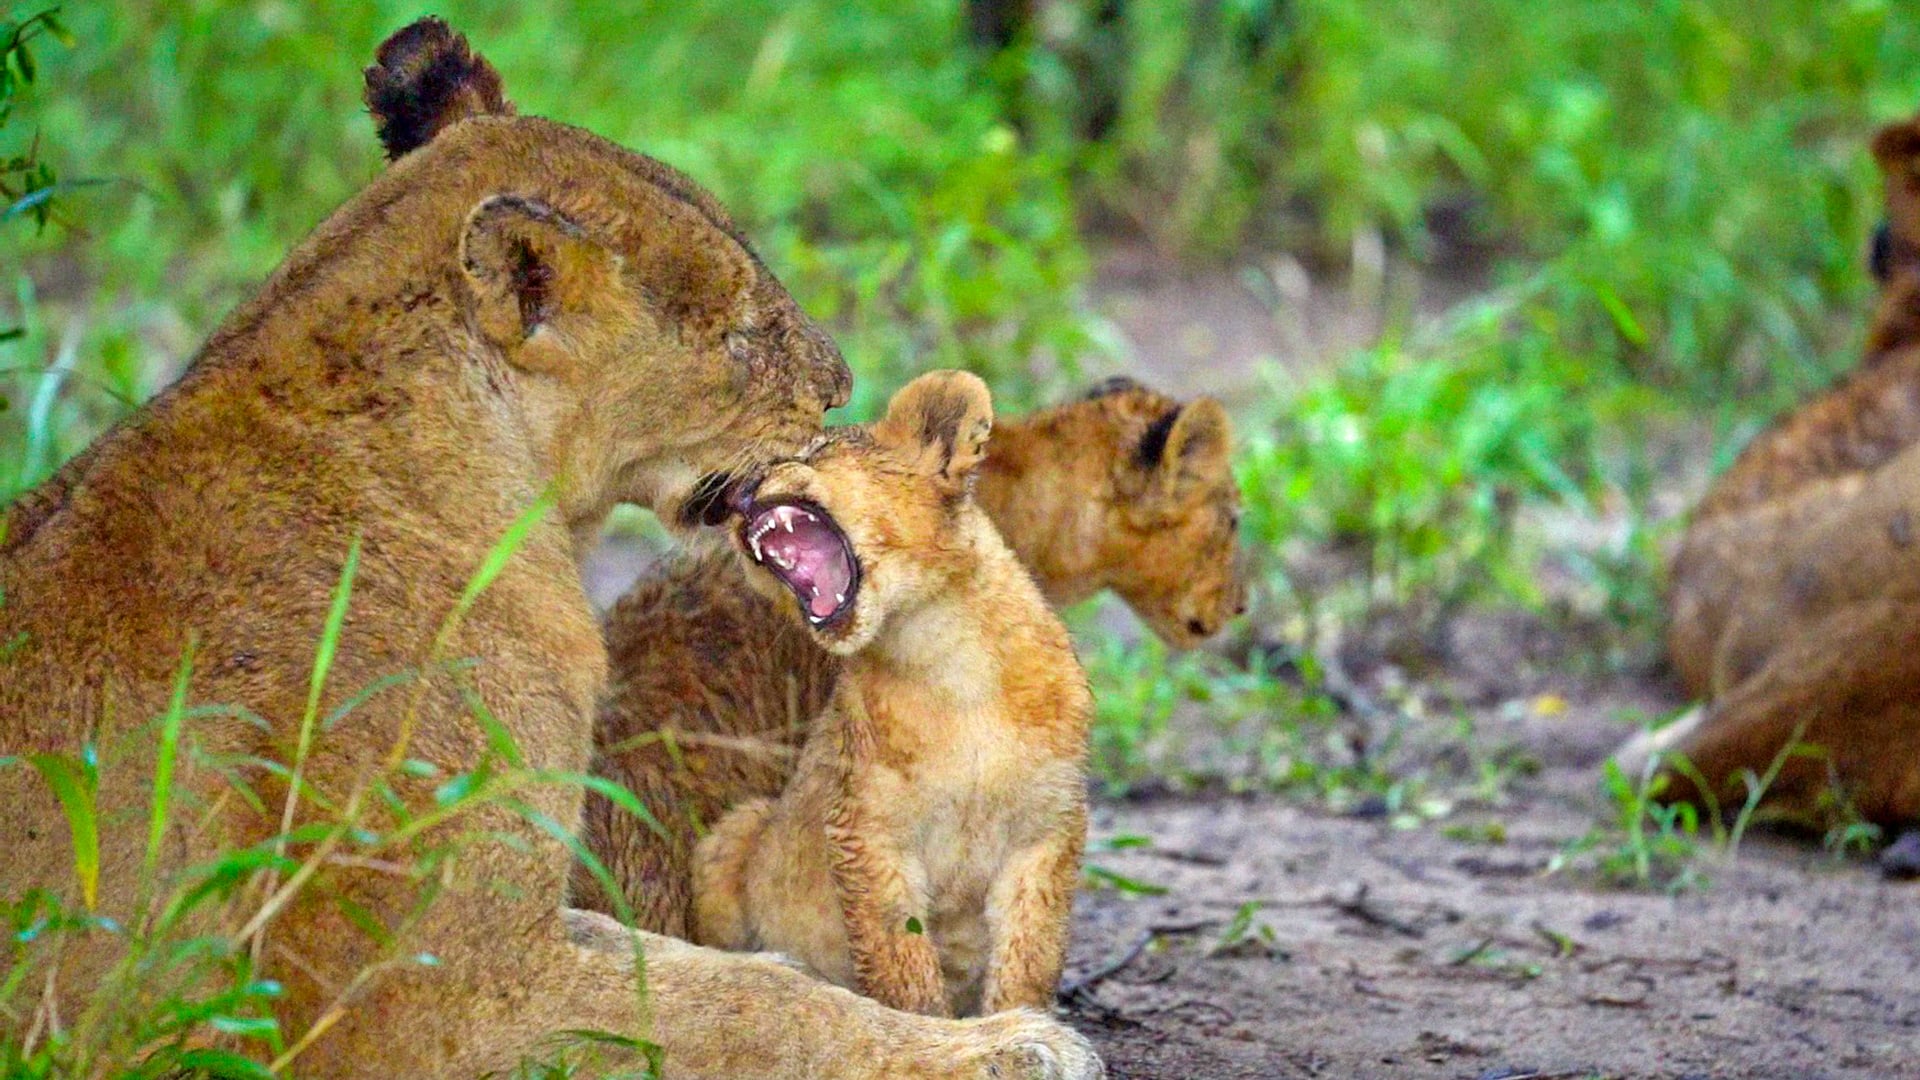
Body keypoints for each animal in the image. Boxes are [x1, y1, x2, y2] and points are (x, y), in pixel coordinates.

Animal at [689, 371, 1091, 1019]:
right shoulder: (866, 834)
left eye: (810, 453)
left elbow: (1030, 957)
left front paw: (1024, 1024)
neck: (946, 661)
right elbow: (900, 961)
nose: (729, 496)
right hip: (733, 833)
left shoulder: (1047, 827)